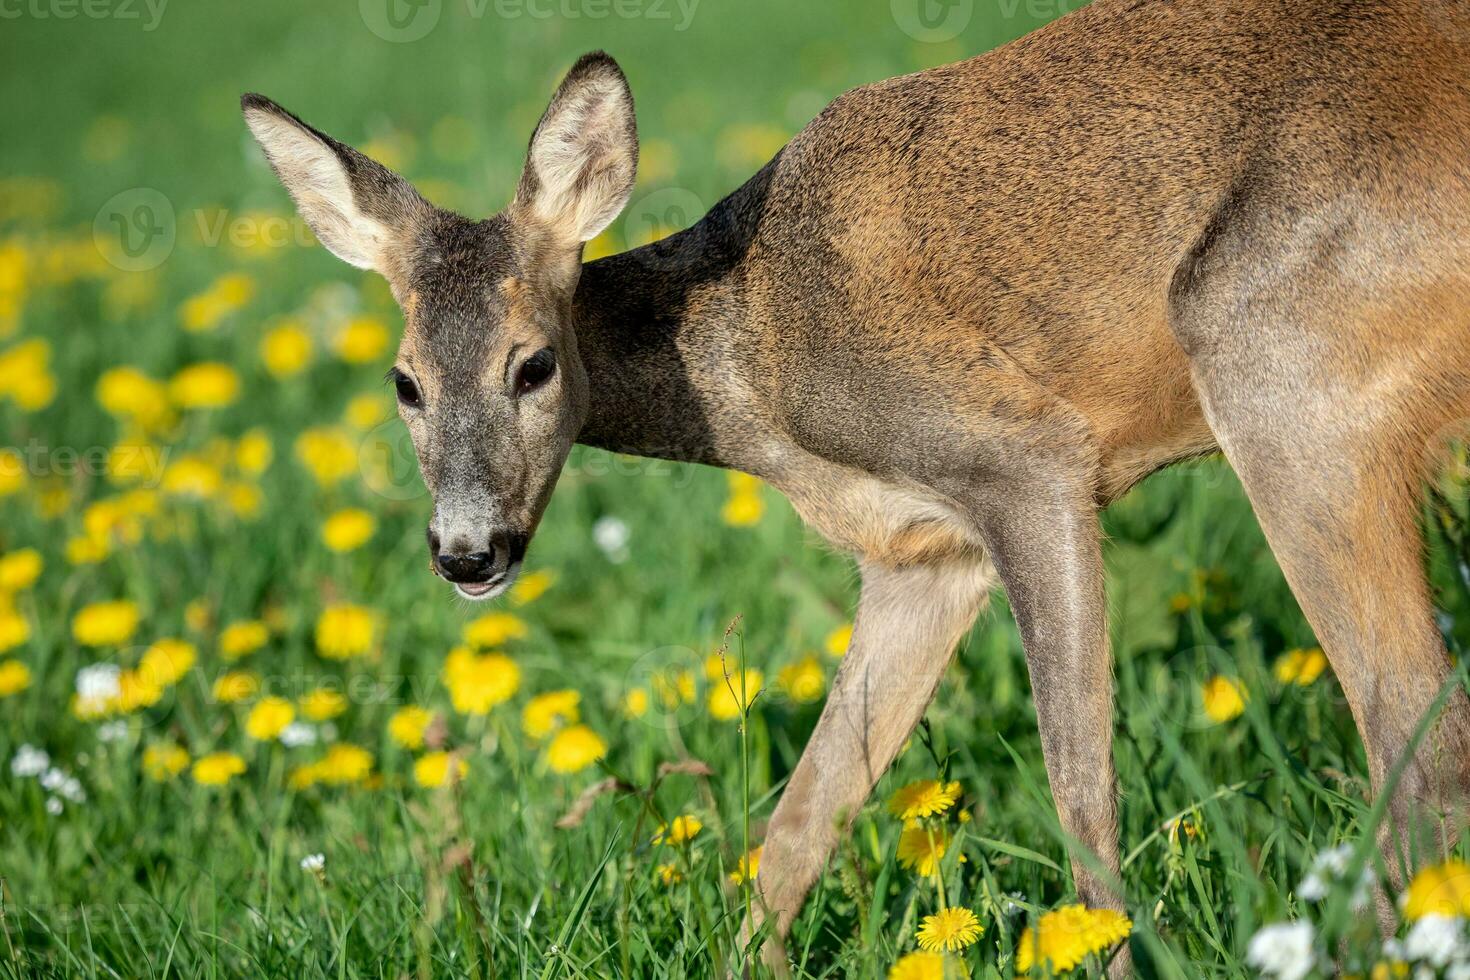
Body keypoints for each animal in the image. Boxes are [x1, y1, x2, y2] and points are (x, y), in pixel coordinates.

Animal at [241, 0, 1470, 969]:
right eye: (403, 382)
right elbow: (803, 812)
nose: (467, 551)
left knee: (1414, 732)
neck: (754, 357)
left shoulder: (1029, 460)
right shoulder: (923, 552)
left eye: (532, 365)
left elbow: (1080, 790)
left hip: (1274, 350)